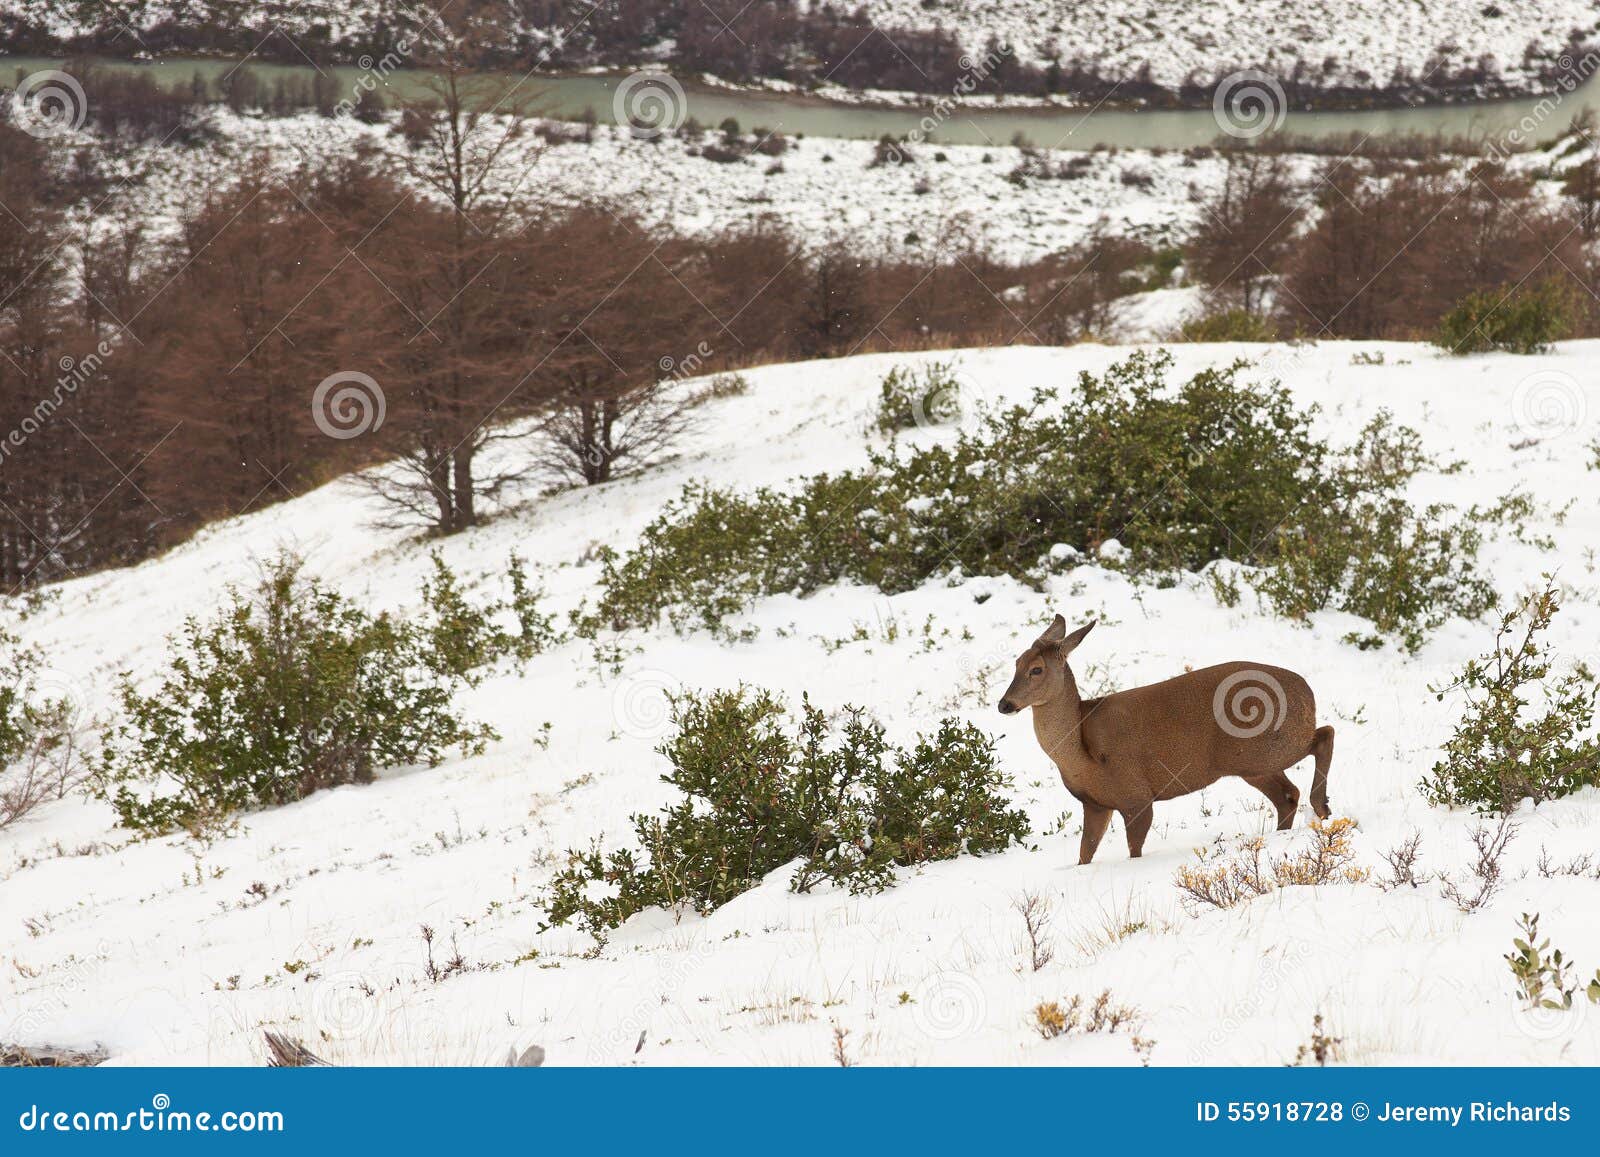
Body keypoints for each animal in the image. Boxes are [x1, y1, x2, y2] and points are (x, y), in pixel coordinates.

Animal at [998, 620, 1337, 864]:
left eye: (1037, 669)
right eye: (1016, 663)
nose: (1004, 704)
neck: (1080, 755)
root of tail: (1307, 691)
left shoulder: (1136, 796)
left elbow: (1134, 852)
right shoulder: (1095, 804)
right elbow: (1084, 855)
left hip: (1267, 747)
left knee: (1325, 735)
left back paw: (1322, 807)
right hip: (1251, 763)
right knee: (1287, 795)